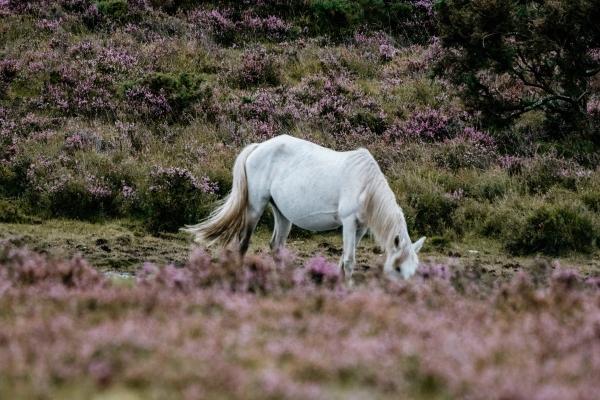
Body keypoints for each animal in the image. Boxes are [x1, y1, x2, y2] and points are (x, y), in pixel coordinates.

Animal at [183, 136, 422, 280]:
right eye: (398, 267)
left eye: (413, 270)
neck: (364, 183)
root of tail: (258, 147)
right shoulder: (348, 222)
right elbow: (349, 260)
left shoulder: (360, 228)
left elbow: (343, 258)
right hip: (255, 207)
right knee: (243, 243)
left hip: (282, 214)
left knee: (276, 246)